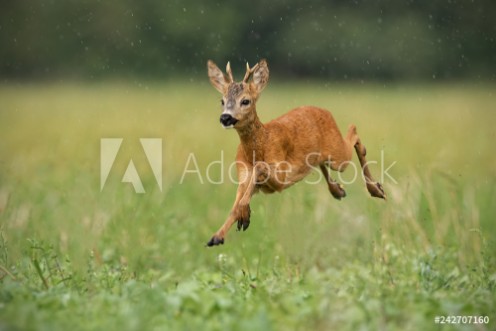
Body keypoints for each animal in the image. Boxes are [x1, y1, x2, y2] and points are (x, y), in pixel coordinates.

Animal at [205, 59, 388, 246]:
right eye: (222, 101)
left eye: (245, 101)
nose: (225, 117)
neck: (259, 148)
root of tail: (325, 111)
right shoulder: (243, 176)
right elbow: (234, 207)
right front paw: (218, 236)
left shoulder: (280, 174)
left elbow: (260, 169)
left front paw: (243, 214)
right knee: (322, 161)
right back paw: (338, 190)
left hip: (337, 155)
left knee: (354, 132)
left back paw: (376, 189)